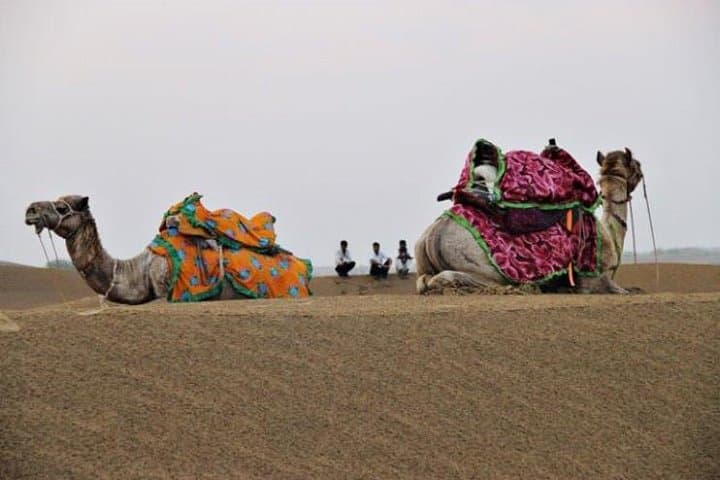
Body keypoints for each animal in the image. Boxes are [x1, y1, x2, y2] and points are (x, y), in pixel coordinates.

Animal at [415, 148, 644, 294]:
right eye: (635, 165)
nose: (641, 171)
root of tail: (433, 236)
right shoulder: (594, 280)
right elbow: (627, 291)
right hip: (484, 268)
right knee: (448, 278)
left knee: (424, 281)